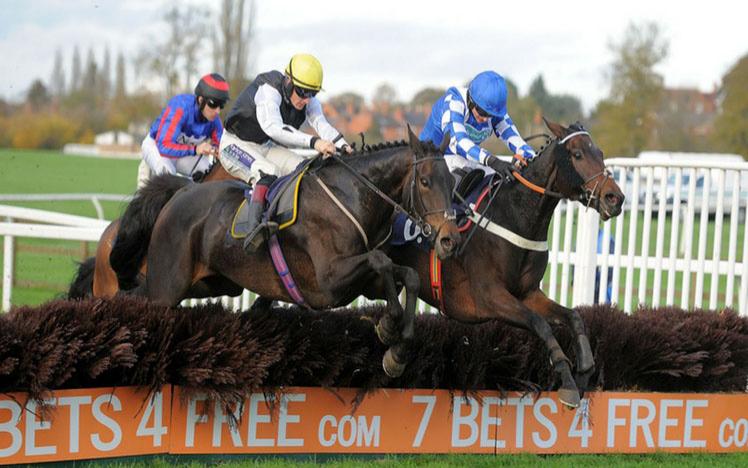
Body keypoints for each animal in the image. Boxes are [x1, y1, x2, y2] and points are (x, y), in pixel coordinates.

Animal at [110, 130, 462, 378]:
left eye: (452, 182)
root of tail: (181, 191)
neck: (353, 197)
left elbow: (407, 276)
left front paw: (397, 349)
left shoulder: (363, 284)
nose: (449, 240)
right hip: (168, 284)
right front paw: (389, 327)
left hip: (212, 282)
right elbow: (382, 261)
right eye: (425, 181)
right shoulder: (328, 282)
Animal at [388, 119, 624, 408]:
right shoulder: (489, 297)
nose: (615, 198)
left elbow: (574, 317)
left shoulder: (528, 293)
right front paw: (567, 381)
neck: (515, 216)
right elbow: (539, 324)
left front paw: (584, 371)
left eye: (599, 153)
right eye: (578, 154)